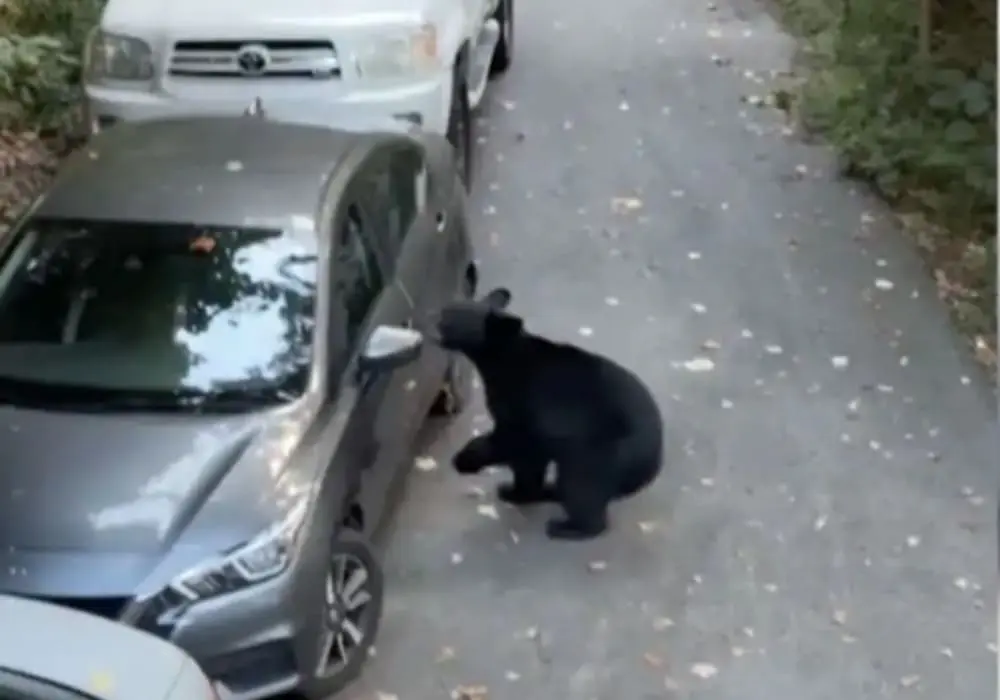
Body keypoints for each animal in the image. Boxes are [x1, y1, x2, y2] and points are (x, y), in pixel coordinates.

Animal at [430, 286, 664, 540]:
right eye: (447, 309)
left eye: (450, 318)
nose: (432, 320)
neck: (502, 359)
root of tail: (653, 462)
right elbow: (531, 457)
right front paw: (519, 490)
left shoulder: (527, 406)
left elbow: (515, 443)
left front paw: (468, 461)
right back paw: (553, 492)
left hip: (601, 452)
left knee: (581, 485)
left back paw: (568, 527)